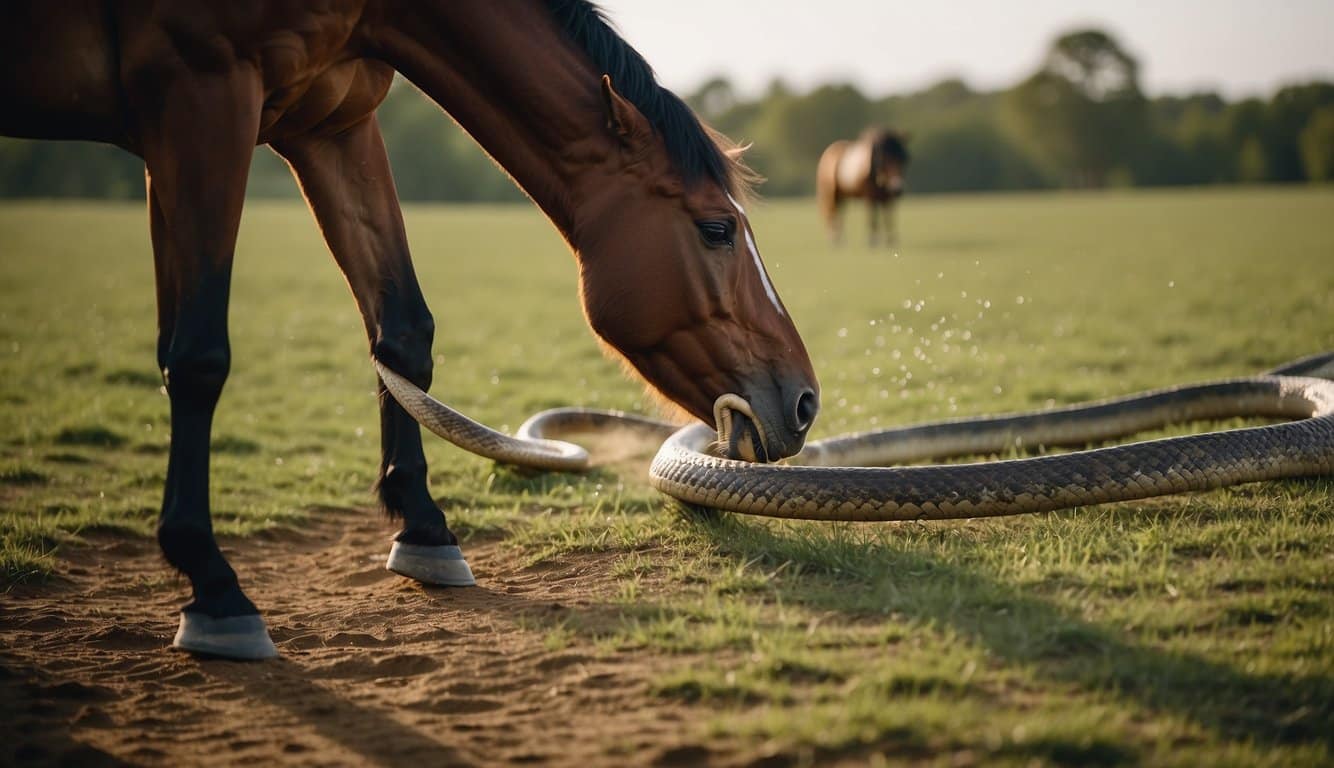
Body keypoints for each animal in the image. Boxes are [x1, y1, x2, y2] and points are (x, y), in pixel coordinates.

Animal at [0, 0, 819, 660]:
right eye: (717, 229)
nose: (805, 401)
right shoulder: (199, 101)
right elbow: (198, 355)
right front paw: (214, 588)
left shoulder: (333, 122)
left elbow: (402, 333)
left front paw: (425, 531)